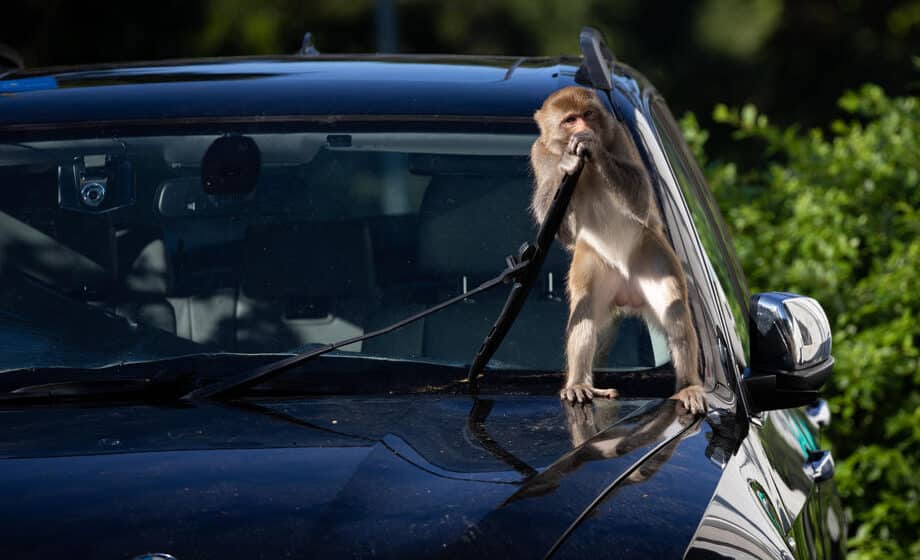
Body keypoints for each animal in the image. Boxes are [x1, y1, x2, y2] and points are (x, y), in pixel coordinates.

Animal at [528, 85, 708, 414]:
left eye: (588, 115)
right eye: (570, 119)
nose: (583, 129)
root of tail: (628, 293)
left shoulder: (619, 137)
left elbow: (639, 197)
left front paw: (593, 147)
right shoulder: (540, 154)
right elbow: (563, 231)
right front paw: (566, 164)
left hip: (653, 255)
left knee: (674, 309)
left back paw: (689, 386)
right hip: (592, 265)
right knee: (584, 311)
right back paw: (579, 383)